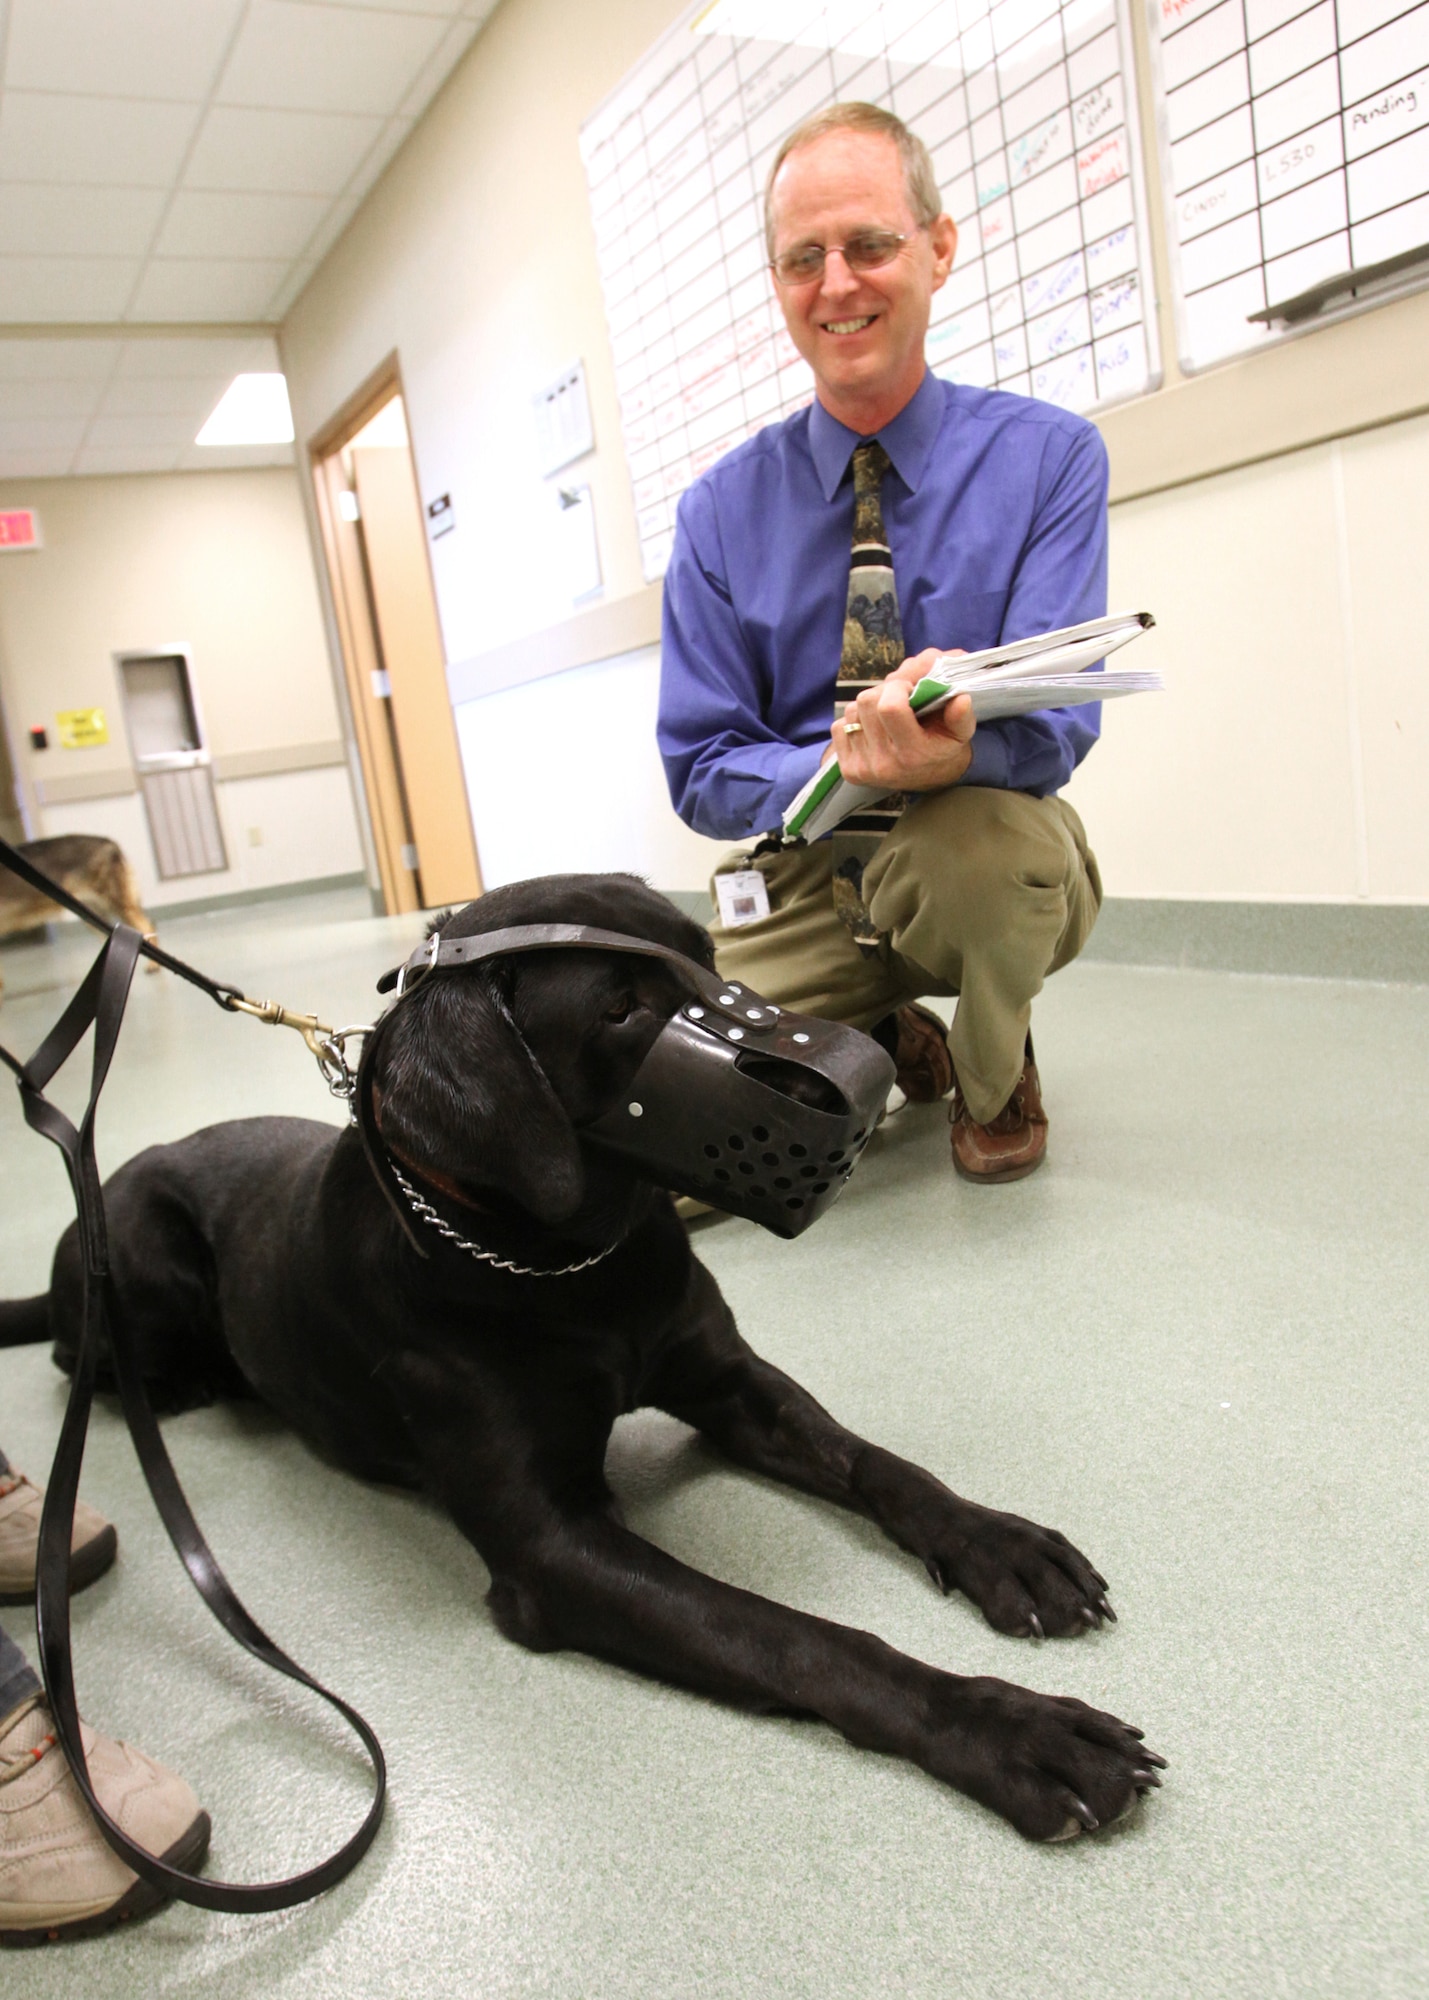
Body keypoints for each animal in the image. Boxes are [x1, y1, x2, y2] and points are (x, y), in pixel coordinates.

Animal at [0, 876, 1160, 1840]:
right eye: (619, 1011)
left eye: (709, 954)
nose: (866, 1076)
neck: (566, 1264)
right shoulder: (554, 1545)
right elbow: (797, 1636)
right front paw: (1006, 1731)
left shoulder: (732, 1382)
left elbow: (884, 1466)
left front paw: (1001, 1543)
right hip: (140, 1250)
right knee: (74, 1355)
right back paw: (179, 1382)